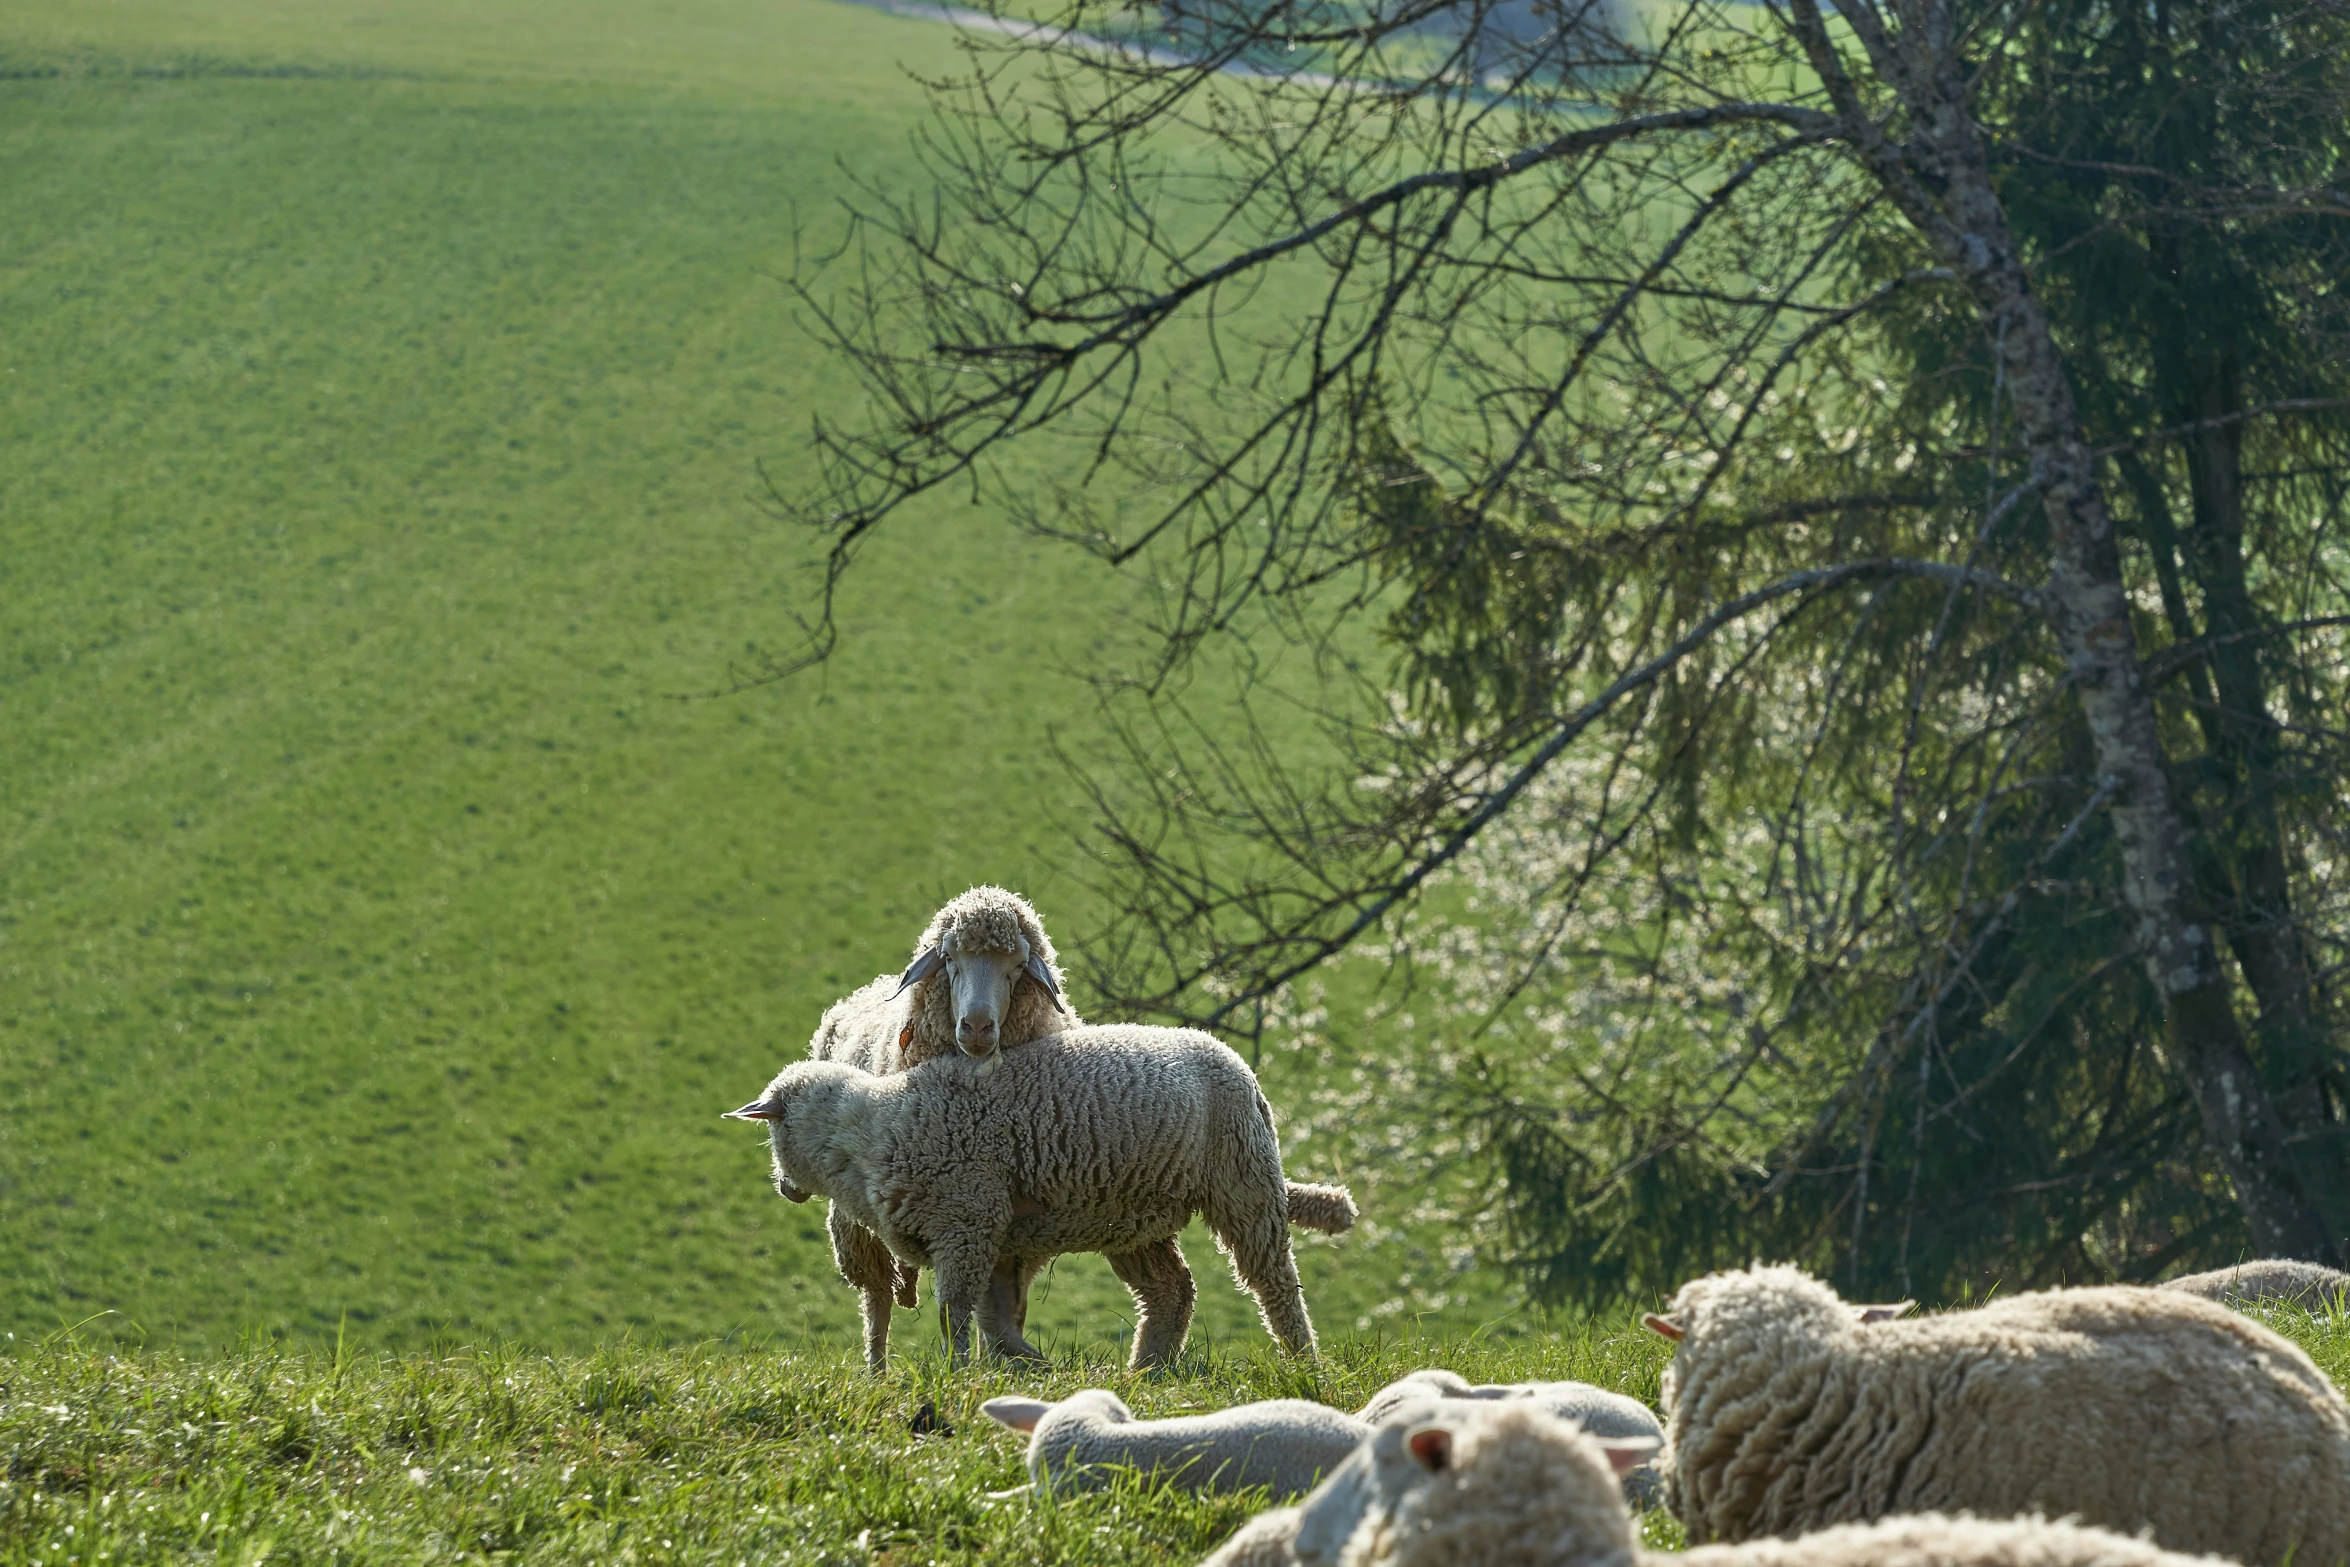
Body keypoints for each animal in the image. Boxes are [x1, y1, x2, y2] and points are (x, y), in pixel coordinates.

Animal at [723, 1024, 1353, 1362]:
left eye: (772, 1129)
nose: (785, 1189)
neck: (872, 1130)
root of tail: (1238, 1064)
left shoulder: (968, 1222)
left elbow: (956, 1312)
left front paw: (958, 1372)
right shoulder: (991, 1237)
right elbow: (992, 1314)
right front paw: (1021, 1365)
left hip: (1242, 1181)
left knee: (1274, 1281)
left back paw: (1302, 1361)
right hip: (1133, 1214)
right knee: (1172, 1291)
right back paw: (1147, 1369)